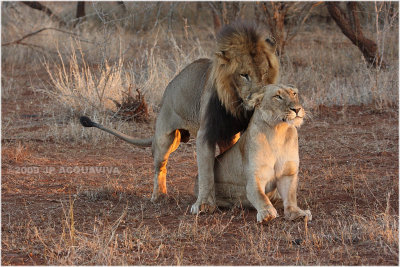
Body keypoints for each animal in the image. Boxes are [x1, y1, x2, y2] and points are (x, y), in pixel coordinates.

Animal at [80, 22, 280, 215]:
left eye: (264, 73)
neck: (237, 105)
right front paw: (204, 205)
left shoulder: (233, 134)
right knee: (160, 165)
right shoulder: (206, 133)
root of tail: (167, 91)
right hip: (165, 138)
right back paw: (159, 195)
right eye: (244, 75)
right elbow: (206, 171)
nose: (258, 98)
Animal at [200, 85, 312, 223]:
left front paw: (297, 213)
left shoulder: (287, 173)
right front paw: (267, 212)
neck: (278, 131)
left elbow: (290, 196)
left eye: (294, 94)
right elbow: (260, 196)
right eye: (278, 96)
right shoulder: (256, 176)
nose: (297, 109)